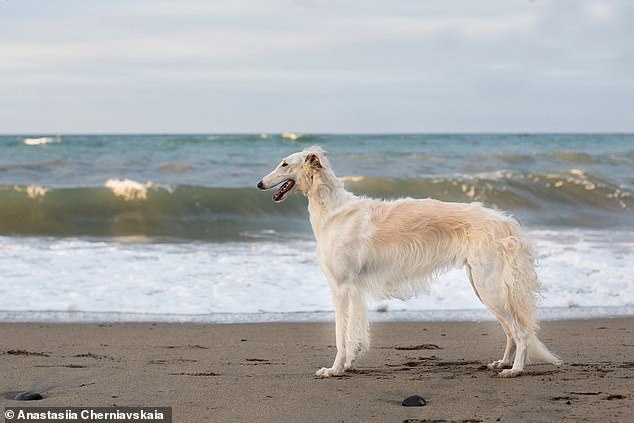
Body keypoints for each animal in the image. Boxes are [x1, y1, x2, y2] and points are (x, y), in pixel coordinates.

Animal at [254, 147, 560, 380]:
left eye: (284, 163)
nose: (258, 184)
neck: (334, 212)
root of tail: (505, 221)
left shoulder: (340, 287)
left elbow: (341, 335)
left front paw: (334, 369)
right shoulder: (352, 289)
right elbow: (353, 334)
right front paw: (348, 365)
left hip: (489, 287)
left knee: (520, 331)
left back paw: (515, 370)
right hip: (483, 285)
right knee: (510, 331)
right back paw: (503, 362)